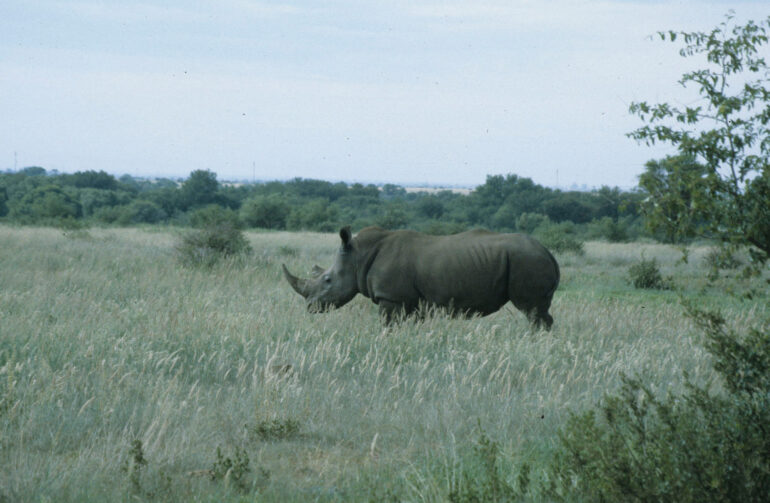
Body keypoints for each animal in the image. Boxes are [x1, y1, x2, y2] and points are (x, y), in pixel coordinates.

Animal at [282, 226, 560, 328]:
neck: (358, 256)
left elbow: (388, 326)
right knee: (539, 310)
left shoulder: (391, 298)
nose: (310, 308)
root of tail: (549, 252)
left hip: (527, 261)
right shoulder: (411, 301)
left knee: (532, 310)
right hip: (529, 260)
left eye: (327, 280)